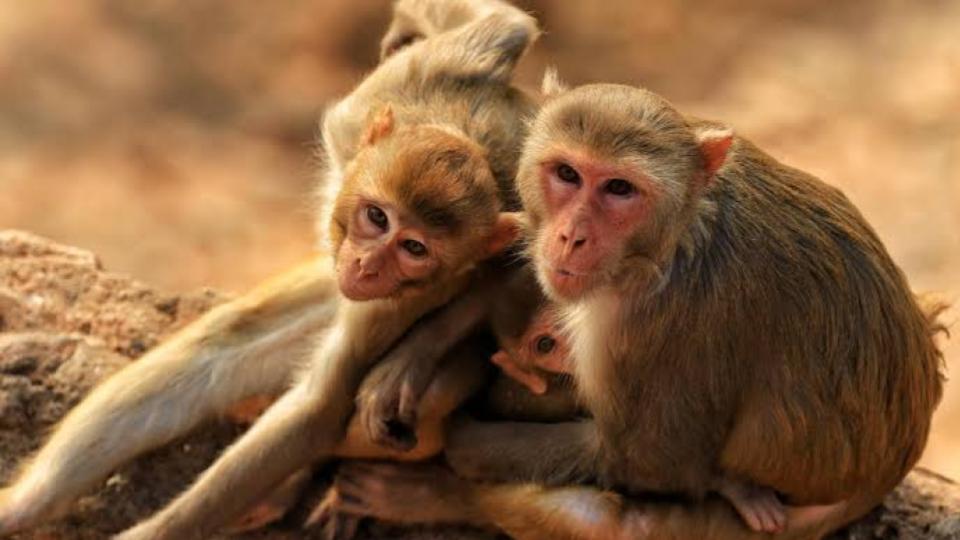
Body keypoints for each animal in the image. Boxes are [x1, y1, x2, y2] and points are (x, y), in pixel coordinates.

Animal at [0, 2, 543, 537]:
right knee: (217, 346)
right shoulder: (373, 107)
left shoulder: (406, 296)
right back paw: (24, 505)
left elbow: (316, 409)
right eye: (377, 217)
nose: (366, 267)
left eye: (414, 247)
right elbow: (503, 25)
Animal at [325, 82, 948, 539]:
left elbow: (649, 462)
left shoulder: (662, 325)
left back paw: (433, 497)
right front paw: (412, 358)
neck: (673, 238)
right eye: (567, 174)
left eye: (620, 189)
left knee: (617, 522)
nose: (572, 237)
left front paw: (459, 448)